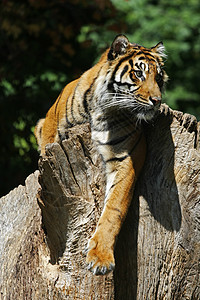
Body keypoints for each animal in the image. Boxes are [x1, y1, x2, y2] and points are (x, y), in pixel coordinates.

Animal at [34, 34, 167, 276]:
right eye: (139, 73)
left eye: (159, 77)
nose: (157, 101)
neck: (104, 109)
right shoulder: (49, 128)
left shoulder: (127, 156)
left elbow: (114, 208)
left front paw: (100, 258)